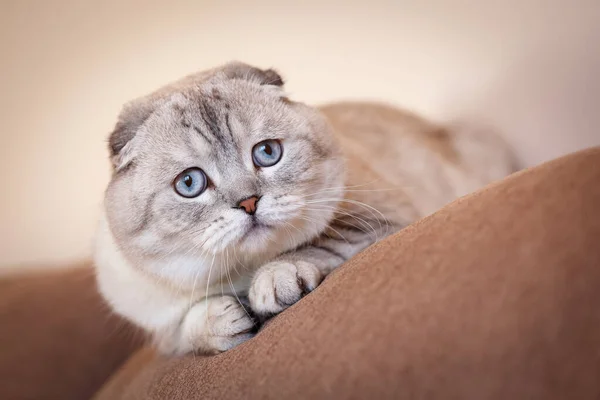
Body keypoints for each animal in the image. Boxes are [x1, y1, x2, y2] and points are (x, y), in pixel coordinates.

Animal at [94, 61, 516, 354]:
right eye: (189, 184)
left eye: (267, 153)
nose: (248, 202)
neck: (239, 275)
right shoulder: (157, 324)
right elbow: (188, 327)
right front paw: (227, 318)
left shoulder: (376, 220)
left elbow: (310, 249)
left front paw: (271, 286)